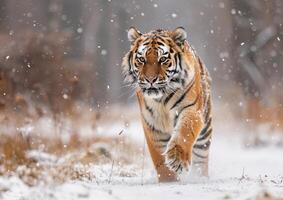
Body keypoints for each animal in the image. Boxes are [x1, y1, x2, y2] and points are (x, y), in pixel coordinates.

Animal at [122, 27, 213, 183]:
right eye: (141, 59)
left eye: (163, 59)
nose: (150, 79)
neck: (161, 100)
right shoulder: (151, 123)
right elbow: (158, 156)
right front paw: (168, 180)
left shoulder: (191, 110)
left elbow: (184, 133)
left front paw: (177, 160)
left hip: (204, 134)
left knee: (201, 159)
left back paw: (200, 178)